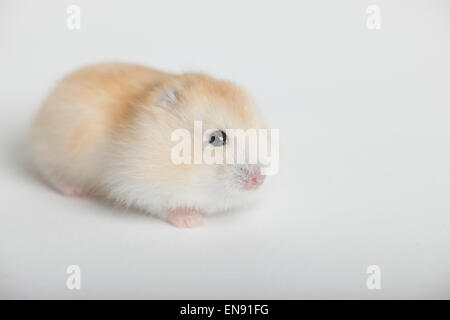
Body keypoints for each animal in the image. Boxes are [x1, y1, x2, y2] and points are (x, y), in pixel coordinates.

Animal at [29, 62, 268, 228]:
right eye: (217, 138)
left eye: (259, 132)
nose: (259, 180)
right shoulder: (140, 184)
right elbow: (165, 205)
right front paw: (193, 222)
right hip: (55, 154)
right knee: (51, 173)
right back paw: (74, 191)